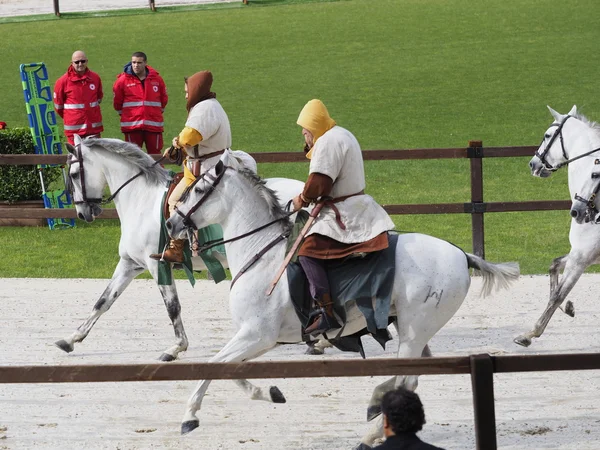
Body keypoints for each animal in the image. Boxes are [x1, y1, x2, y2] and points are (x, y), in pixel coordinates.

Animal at [166, 153, 516, 448]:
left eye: (199, 190)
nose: (172, 223)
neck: (261, 254)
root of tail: (460, 254)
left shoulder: (257, 336)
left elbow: (214, 364)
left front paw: (189, 416)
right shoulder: (257, 340)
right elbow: (229, 369)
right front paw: (268, 392)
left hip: (414, 332)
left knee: (408, 378)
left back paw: (371, 431)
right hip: (413, 331)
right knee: (413, 377)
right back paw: (376, 402)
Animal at [512, 105, 600, 348]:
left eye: (547, 135)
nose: (533, 164)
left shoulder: (581, 256)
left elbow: (558, 294)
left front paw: (530, 334)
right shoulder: (582, 254)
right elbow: (553, 267)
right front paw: (568, 308)